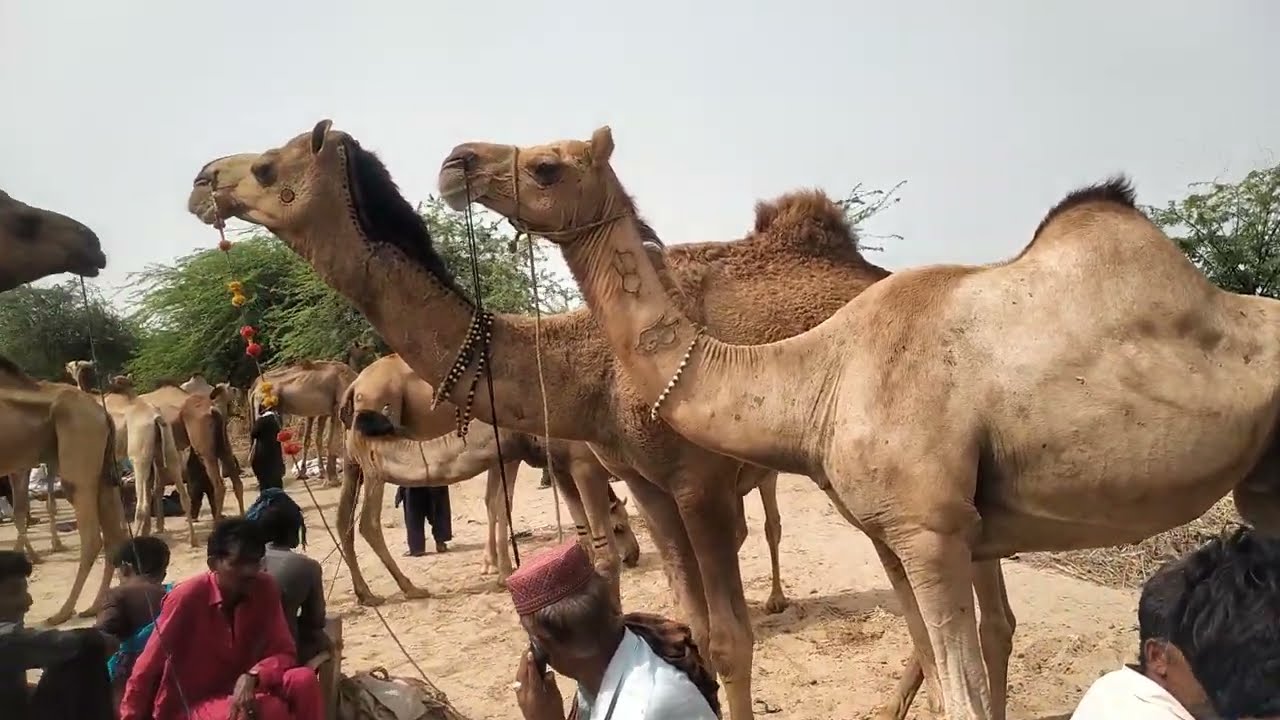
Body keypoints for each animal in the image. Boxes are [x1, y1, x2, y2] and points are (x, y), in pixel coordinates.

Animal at [0, 356, 126, 626]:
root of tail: (102, 413)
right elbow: (19, 512)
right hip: (103, 474)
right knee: (115, 537)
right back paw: (99, 604)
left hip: (77, 464)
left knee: (92, 538)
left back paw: (63, 612)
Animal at [66, 361, 193, 545]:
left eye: (74, 365)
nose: (66, 365)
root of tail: (156, 418)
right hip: (168, 448)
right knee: (182, 493)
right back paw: (193, 540)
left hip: (138, 455)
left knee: (142, 503)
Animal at [139, 380, 244, 517]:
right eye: (232, 389)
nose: (239, 392)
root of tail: (213, 409)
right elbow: (156, 487)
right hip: (223, 446)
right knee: (237, 483)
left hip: (205, 450)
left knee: (219, 486)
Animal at [334, 352, 641, 603]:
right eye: (619, 528)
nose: (634, 556)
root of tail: (353, 387)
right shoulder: (567, 461)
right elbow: (502, 503)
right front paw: (502, 570)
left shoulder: (555, 460)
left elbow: (501, 502)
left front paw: (499, 568)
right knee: (363, 523)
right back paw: (400, 589)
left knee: (345, 522)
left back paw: (369, 593)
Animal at [444, 127, 1280, 719]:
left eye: (547, 166)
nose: (458, 161)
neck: (820, 375)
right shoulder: (891, 530)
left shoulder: (928, 529)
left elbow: (959, 692)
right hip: (1258, 482)